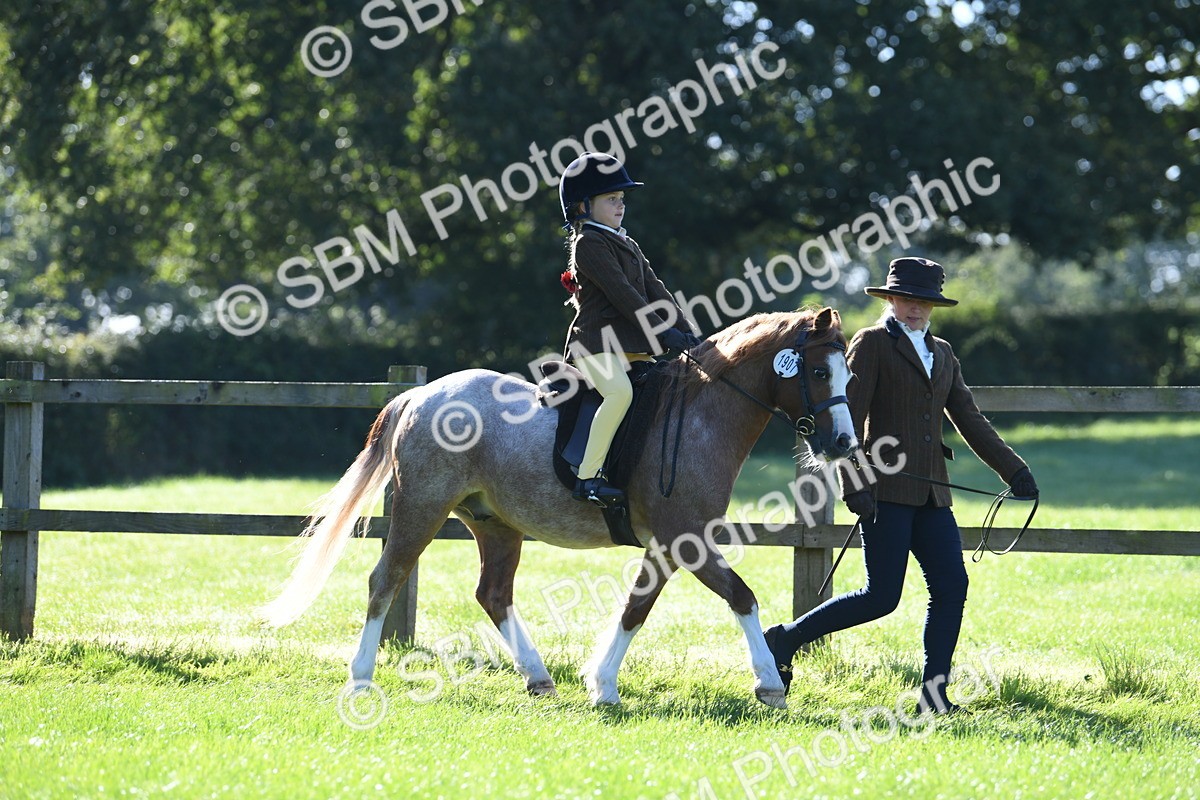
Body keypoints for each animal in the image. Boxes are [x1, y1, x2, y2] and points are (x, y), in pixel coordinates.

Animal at [259, 307, 857, 709]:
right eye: (819, 373)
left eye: (848, 373)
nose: (844, 444)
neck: (701, 414)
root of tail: (420, 395)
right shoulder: (684, 540)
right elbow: (741, 597)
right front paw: (769, 683)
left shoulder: (668, 547)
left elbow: (636, 608)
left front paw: (603, 684)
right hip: (420, 510)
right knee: (385, 580)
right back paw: (360, 677)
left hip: (496, 526)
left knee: (492, 595)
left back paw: (538, 677)